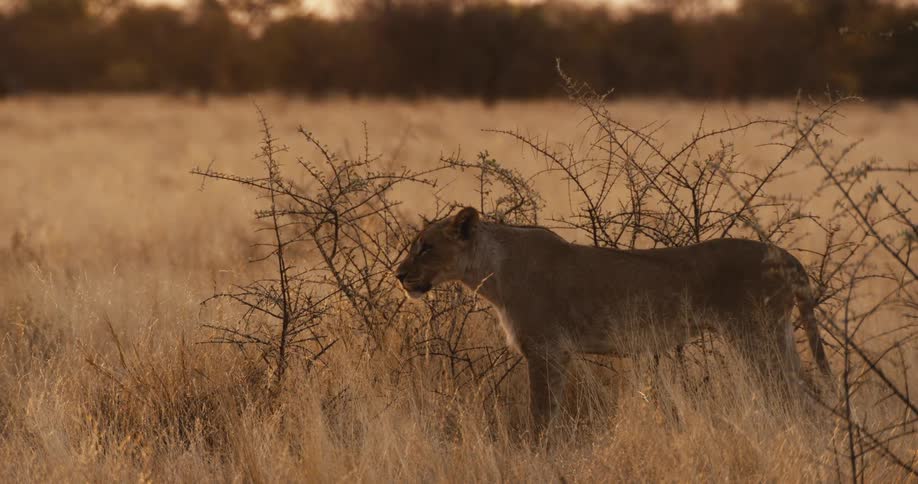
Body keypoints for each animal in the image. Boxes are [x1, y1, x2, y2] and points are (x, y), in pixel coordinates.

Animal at [395, 206, 832, 429]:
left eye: (426, 247)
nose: (398, 275)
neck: (491, 270)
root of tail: (787, 256)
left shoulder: (545, 350)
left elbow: (541, 414)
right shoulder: (558, 354)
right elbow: (551, 411)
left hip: (756, 337)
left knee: (796, 395)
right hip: (778, 335)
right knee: (807, 389)